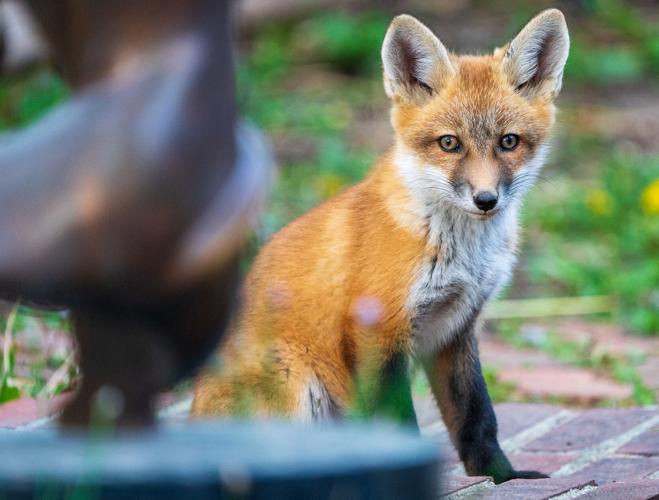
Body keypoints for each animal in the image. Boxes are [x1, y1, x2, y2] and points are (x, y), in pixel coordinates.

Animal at [191, 9, 569, 483]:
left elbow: (477, 415)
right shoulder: (377, 329)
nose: (486, 200)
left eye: (509, 141)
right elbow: (397, 424)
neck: (460, 252)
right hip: (291, 381)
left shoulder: (456, 330)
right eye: (449, 143)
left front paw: (502, 476)